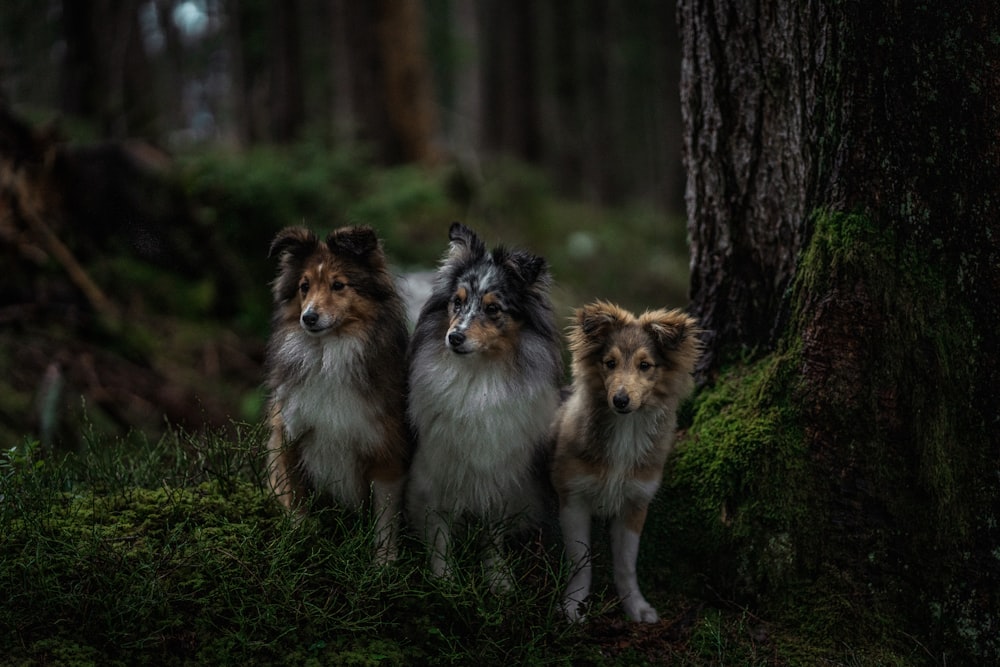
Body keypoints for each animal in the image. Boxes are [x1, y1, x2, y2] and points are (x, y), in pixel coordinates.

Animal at [264, 226, 412, 564]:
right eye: (304, 286)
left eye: (338, 285)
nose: (308, 318)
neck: (328, 355)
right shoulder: (289, 436)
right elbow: (296, 498)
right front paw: (299, 539)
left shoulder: (386, 449)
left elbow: (385, 517)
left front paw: (384, 562)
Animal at [406, 223, 564, 584]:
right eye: (457, 302)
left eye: (493, 309)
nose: (454, 338)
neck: (478, 377)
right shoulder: (438, 470)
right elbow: (440, 528)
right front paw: (444, 580)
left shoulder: (500, 474)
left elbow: (493, 531)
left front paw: (498, 580)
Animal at [552, 300, 700, 624]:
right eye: (610, 363)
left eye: (645, 365)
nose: (620, 400)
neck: (625, 429)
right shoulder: (573, 499)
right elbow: (581, 562)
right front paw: (573, 605)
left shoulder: (634, 503)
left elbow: (626, 565)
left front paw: (635, 606)